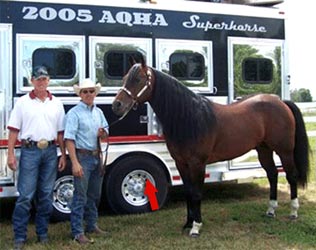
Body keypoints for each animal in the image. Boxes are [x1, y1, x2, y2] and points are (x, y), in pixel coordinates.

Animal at [111, 59, 308, 237]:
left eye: (138, 79)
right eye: (124, 78)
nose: (116, 105)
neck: (189, 117)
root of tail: (281, 102)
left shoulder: (197, 163)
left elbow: (197, 194)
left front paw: (196, 227)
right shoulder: (181, 163)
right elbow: (189, 192)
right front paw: (187, 223)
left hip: (284, 150)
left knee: (291, 176)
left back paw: (293, 212)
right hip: (264, 150)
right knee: (273, 175)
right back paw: (270, 211)